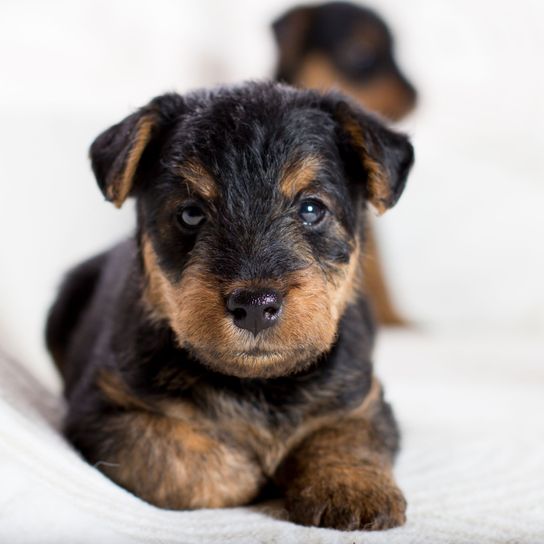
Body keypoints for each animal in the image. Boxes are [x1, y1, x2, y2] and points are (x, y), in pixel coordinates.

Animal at [46, 82, 414, 532]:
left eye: (312, 208)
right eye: (190, 213)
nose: (255, 305)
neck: (260, 385)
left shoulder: (363, 399)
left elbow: (345, 437)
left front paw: (351, 489)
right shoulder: (101, 408)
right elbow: (174, 455)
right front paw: (252, 472)